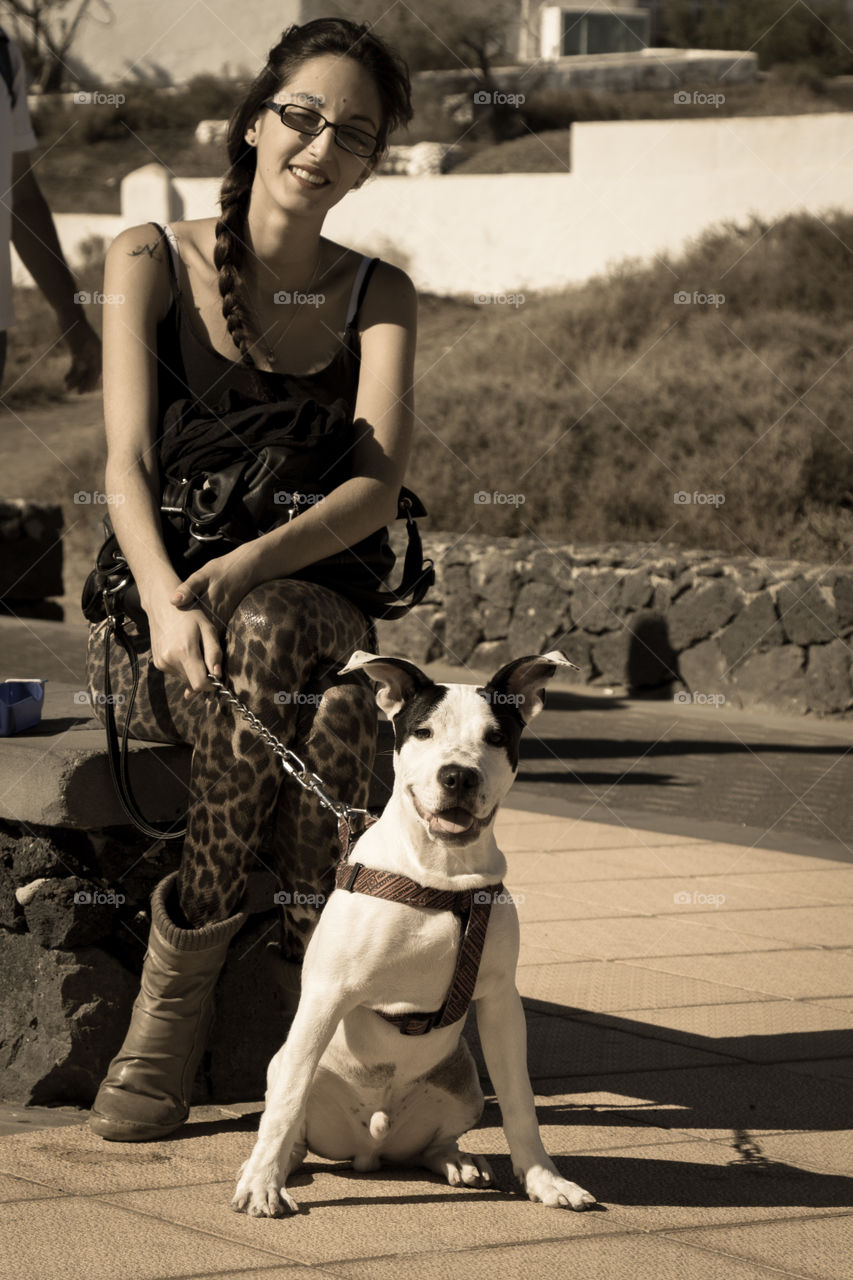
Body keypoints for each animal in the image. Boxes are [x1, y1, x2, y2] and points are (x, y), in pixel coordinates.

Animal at [229, 655, 594, 1213]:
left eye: (495, 736)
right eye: (423, 731)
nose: (458, 776)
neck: (441, 875)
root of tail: (370, 1149)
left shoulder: (500, 1002)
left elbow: (519, 1100)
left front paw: (544, 1180)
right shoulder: (327, 993)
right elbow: (287, 1100)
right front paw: (260, 1185)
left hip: (464, 1084)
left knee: (433, 1143)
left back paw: (457, 1160)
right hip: (290, 1065)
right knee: (291, 1113)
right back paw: (279, 1164)